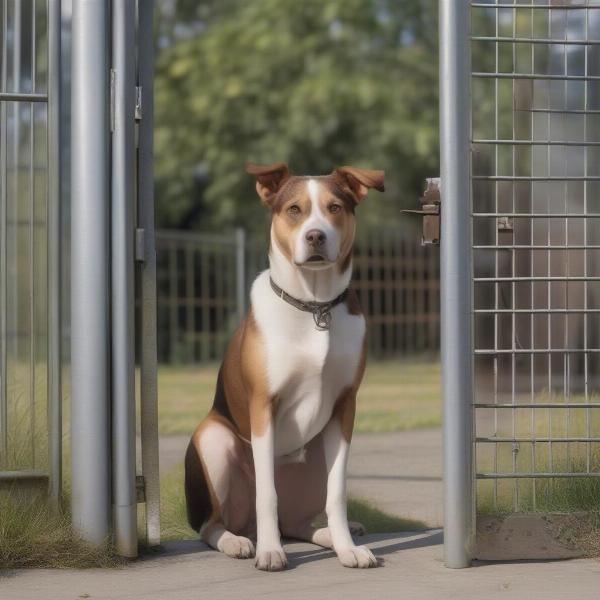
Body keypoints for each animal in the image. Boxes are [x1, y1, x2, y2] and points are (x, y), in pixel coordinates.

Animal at [183, 162, 386, 568]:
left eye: (335, 207)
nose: (315, 236)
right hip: (214, 440)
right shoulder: (264, 404)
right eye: (294, 209)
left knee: (297, 523)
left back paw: (331, 536)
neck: (314, 307)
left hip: (315, 457)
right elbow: (267, 493)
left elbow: (337, 493)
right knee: (212, 523)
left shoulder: (344, 406)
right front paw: (270, 551)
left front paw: (346, 548)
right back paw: (237, 542)